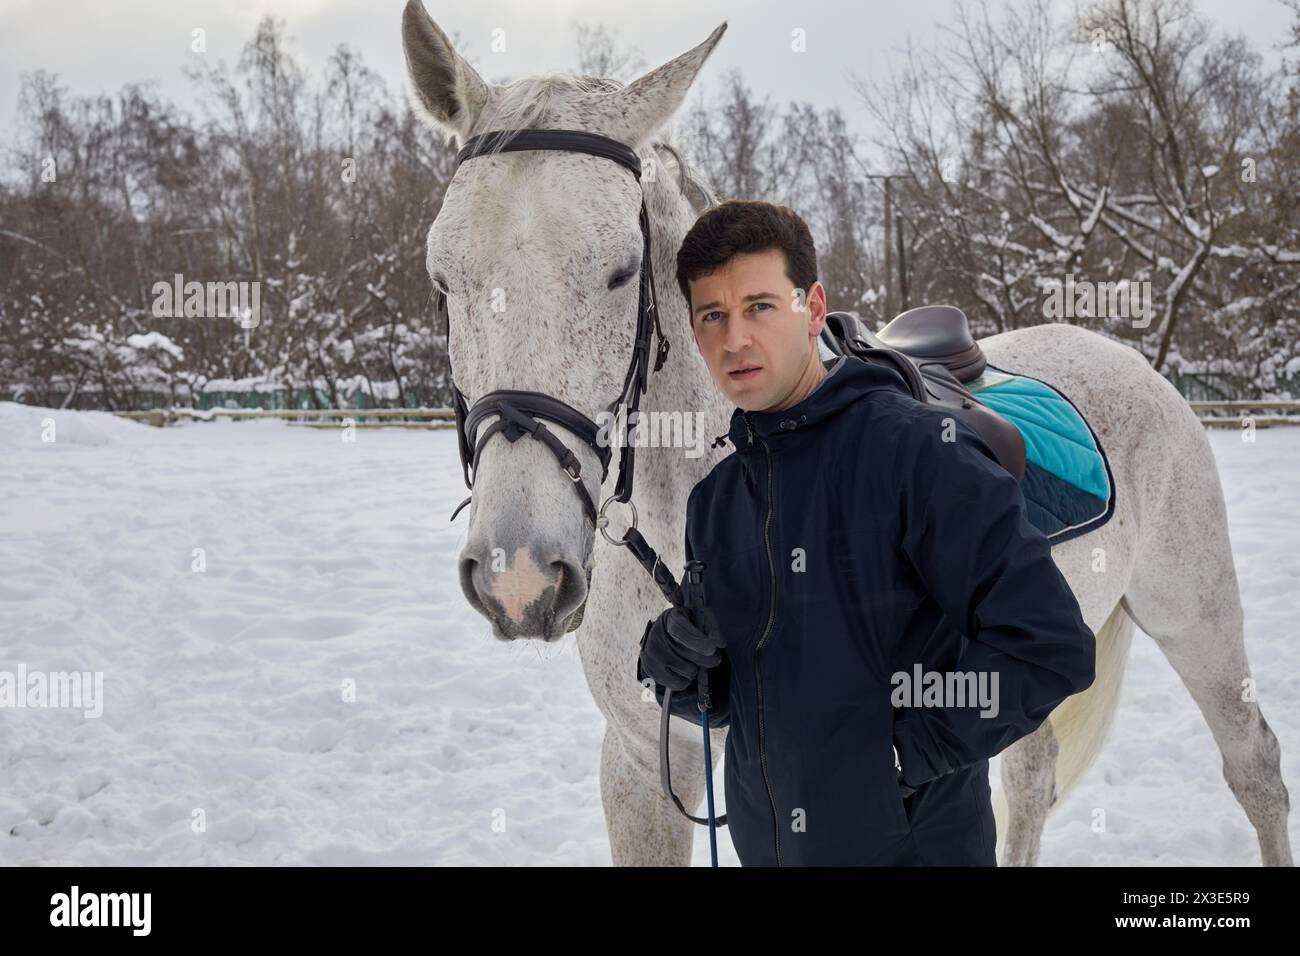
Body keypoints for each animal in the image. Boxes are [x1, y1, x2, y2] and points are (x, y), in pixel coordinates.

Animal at [403, 0, 1289, 868]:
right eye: (442, 278)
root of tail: (1119, 353)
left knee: (1255, 766)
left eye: (621, 271)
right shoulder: (639, 759)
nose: (519, 575)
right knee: (1033, 779)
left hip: (1195, 615)